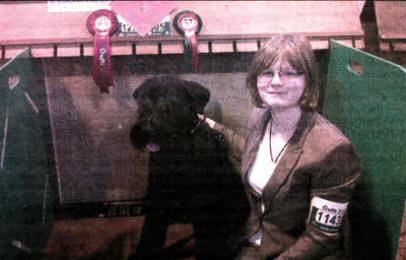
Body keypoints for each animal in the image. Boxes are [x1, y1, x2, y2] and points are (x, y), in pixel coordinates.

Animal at [130, 75, 249, 260]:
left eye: (168, 107)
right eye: (142, 106)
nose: (144, 132)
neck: (178, 149)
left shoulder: (203, 204)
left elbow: (206, 241)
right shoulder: (157, 198)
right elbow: (149, 235)